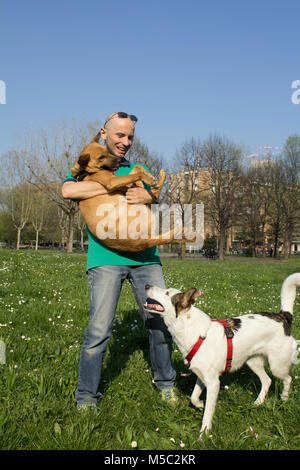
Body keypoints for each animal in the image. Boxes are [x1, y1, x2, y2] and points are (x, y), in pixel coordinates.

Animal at [144, 274, 298, 438]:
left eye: (167, 293)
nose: (146, 285)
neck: (193, 331)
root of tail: (283, 316)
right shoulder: (201, 376)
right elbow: (193, 397)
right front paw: (200, 404)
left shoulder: (213, 384)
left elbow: (207, 414)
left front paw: (203, 435)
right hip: (253, 362)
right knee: (267, 380)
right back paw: (259, 402)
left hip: (277, 365)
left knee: (287, 379)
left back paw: (284, 398)